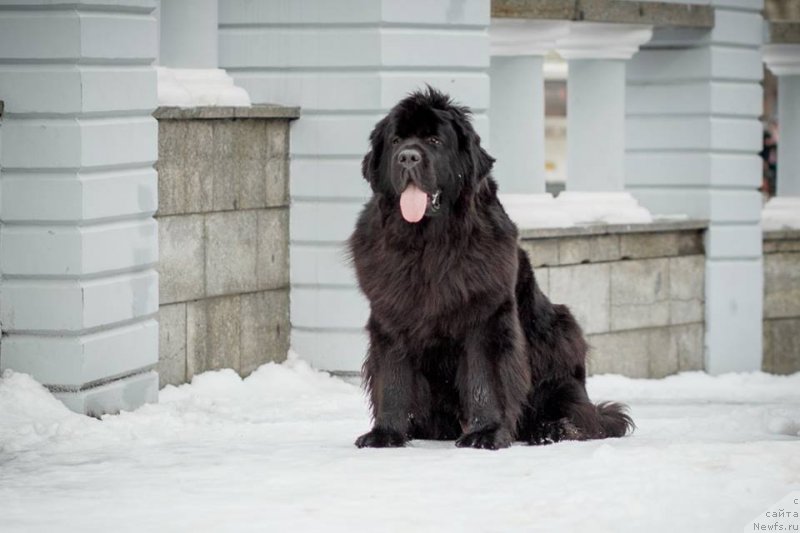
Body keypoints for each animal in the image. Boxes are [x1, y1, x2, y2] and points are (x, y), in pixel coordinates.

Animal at [348, 88, 632, 448]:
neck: (428, 245)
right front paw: (385, 434)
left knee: (580, 413)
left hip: (561, 335)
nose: (407, 157)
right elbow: (393, 376)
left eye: (434, 140)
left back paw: (551, 430)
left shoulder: (486, 315)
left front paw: (486, 432)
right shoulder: (391, 317)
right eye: (397, 140)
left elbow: (485, 378)